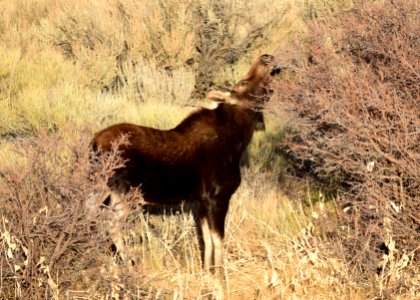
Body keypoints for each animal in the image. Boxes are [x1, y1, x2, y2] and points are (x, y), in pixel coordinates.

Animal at [92, 54, 282, 272]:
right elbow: (218, 240)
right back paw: (129, 265)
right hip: (124, 192)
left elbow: (206, 240)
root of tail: (94, 143)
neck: (239, 140)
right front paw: (220, 275)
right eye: (243, 83)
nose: (266, 57)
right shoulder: (218, 196)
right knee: (111, 226)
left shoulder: (201, 201)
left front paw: (207, 271)